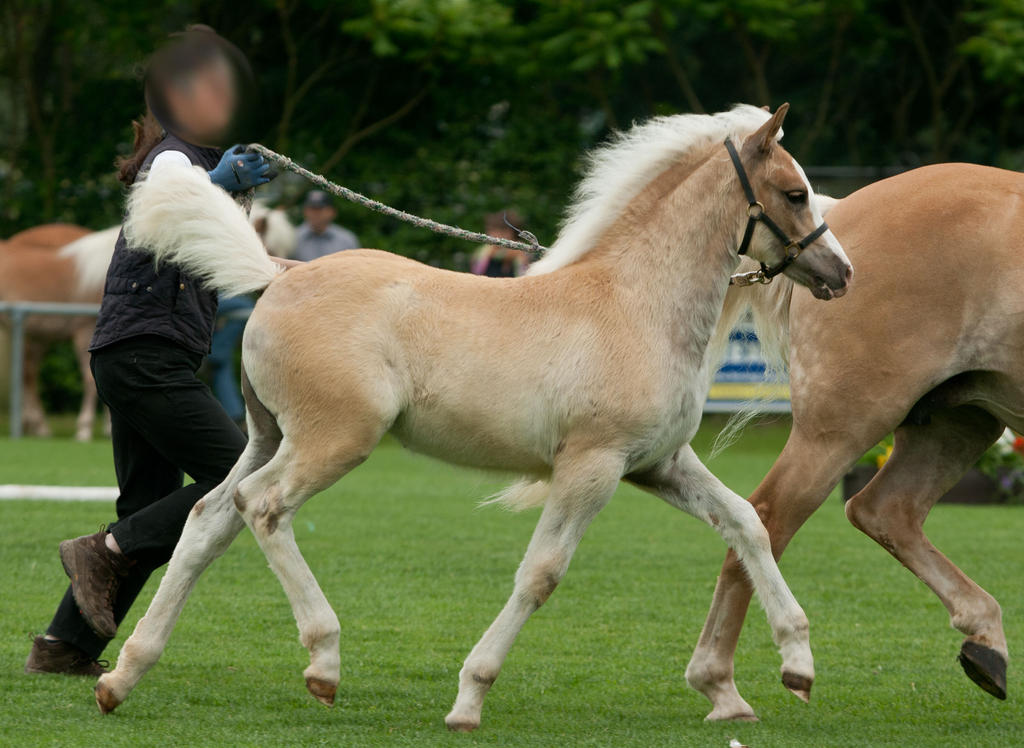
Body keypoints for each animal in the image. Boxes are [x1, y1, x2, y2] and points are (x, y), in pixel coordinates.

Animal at [96, 101, 851, 725]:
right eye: (795, 193)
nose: (841, 273)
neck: (636, 305)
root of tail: (282, 274)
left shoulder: (659, 464)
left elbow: (746, 523)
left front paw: (789, 670)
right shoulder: (592, 466)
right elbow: (540, 575)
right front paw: (469, 698)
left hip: (267, 436)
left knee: (207, 519)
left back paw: (123, 675)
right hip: (333, 440)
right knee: (263, 507)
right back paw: (323, 661)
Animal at [684, 161, 1024, 717]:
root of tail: (839, 212)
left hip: (960, 422)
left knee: (884, 510)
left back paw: (986, 642)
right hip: (842, 427)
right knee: (764, 517)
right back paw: (722, 679)